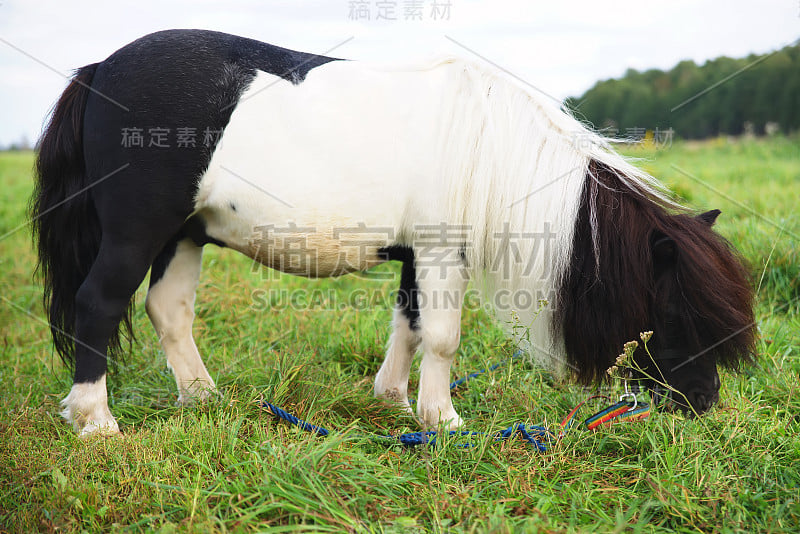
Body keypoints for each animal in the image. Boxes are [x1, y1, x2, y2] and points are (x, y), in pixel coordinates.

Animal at [32, 29, 756, 438]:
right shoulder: (440, 249)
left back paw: (203, 399)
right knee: (100, 305)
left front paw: (397, 408)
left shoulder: (418, 251)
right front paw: (445, 422)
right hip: (138, 232)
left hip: (183, 235)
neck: (489, 142)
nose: (703, 403)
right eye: (675, 310)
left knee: (169, 310)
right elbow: (441, 336)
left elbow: (408, 326)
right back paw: (96, 422)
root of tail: (100, 69)